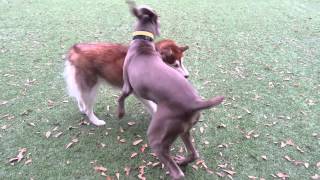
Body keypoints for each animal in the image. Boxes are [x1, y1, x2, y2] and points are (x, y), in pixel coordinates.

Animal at [116, 2, 224, 179]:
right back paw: (183, 161)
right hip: (183, 130)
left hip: (157, 136)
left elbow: (120, 97)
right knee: (194, 154)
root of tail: (195, 102)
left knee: (177, 172)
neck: (142, 44)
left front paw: (120, 113)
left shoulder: (127, 86)